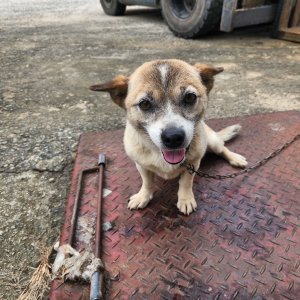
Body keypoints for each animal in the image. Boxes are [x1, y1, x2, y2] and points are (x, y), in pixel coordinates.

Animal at [89, 58, 248, 214]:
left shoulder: (193, 163)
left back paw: (235, 158)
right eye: (144, 104)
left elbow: (186, 182)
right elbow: (147, 182)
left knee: (222, 148)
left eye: (190, 97)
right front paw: (143, 196)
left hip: (212, 142)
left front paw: (185, 199)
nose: (173, 137)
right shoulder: (141, 165)